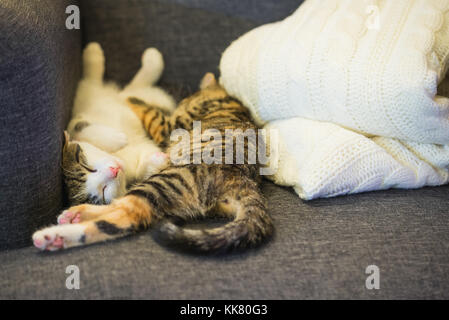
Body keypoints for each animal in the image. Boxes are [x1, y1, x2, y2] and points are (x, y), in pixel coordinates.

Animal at [32, 72, 272, 252]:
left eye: (186, 99)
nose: (181, 102)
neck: (228, 100)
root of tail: (242, 182)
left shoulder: (170, 126)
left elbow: (147, 109)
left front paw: (129, 97)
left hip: (167, 181)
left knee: (126, 216)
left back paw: (55, 235)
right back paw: (73, 216)